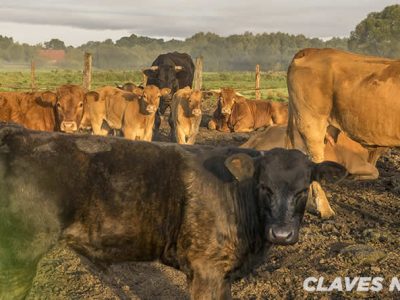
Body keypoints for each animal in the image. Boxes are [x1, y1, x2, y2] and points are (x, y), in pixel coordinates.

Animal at [0, 123, 344, 298]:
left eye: (303, 189)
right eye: (264, 186)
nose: (282, 233)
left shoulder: (222, 273)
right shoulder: (206, 270)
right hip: (17, 259)